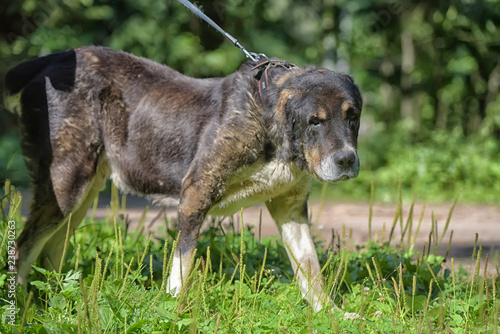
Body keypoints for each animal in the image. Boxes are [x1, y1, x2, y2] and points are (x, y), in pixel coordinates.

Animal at [5, 45, 362, 312]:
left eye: (352, 117)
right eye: (315, 122)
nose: (346, 160)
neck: (268, 121)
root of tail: (51, 60)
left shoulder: (290, 207)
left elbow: (310, 264)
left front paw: (329, 313)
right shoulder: (195, 194)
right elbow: (182, 265)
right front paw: (174, 309)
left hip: (82, 194)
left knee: (50, 250)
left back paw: (58, 300)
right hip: (66, 185)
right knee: (22, 248)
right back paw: (22, 309)